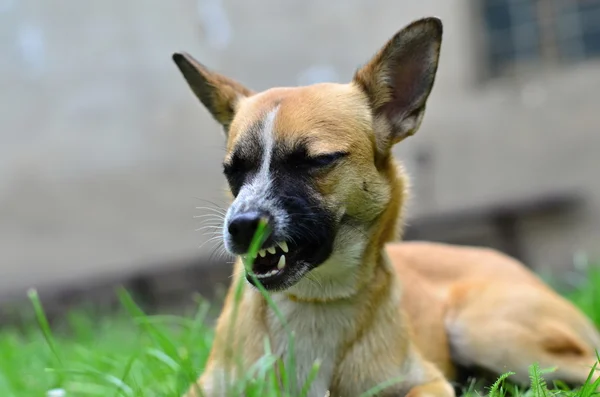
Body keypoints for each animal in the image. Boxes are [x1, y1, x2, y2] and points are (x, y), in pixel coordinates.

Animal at [171, 16, 596, 396]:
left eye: (317, 161)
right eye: (232, 171)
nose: (241, 226)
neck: (315, 299)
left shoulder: (429, 383)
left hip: (485, 331)